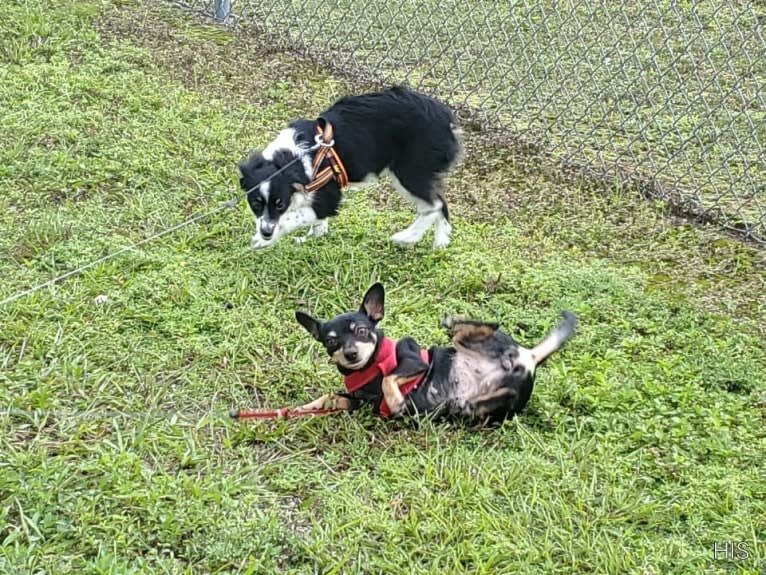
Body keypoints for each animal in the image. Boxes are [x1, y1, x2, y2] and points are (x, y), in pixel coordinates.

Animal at [237, 86, 464, 250]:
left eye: (280, 204)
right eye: (255, 204)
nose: (266, 232)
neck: (292, 158)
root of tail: (447, 119)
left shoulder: (329, 198)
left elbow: (297, 216)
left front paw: (262, 240)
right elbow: (316, 222)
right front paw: (314, 237)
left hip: (409, 173)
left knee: (433, 205)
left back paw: (407, 237)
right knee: (441, 203)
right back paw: (441, 242)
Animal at [296, 284, 580, 424]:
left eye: (362, 331)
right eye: (331, 341)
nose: (351, 353)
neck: (369, 368)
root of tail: (528, 357)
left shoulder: (412, 361)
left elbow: (389, 378)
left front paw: (396, 402)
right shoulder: (359, 401)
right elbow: (329, 397)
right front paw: (304, 408)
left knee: (473, 329)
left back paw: (452, 322)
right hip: (489, 406)